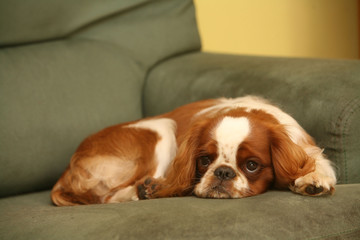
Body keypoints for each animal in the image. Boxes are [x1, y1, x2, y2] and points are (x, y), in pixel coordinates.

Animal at [52, 96, 336, 205]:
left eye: (251, 165)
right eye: (205, 160)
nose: (222, 172)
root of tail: (67, 170)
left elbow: (315, 163)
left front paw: (313, 179)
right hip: (161, 128)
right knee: (111, 197)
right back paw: (147, 189)